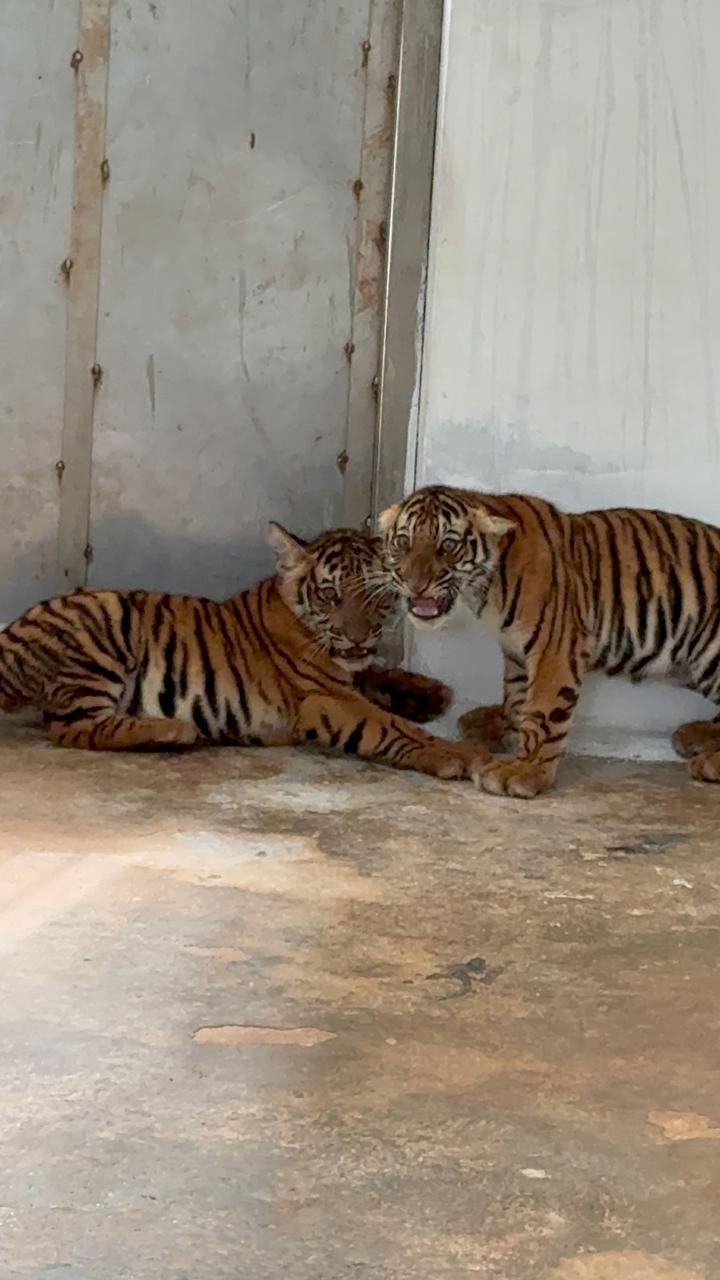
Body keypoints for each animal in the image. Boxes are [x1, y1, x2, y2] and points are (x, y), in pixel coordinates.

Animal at [0, 520, 483, 782]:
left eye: (377, 598)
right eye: (330, 595)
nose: (359, 638)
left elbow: (378, 678)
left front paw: (431, 693)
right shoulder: (323, 699)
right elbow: (392, 726)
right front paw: (458, 755)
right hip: (102, 624)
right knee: (72, 728)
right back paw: (169, 731)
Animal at [379, 484, 720, 797]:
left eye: (448, 544)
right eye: (403, 542)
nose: (415, 585)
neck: (486, 585)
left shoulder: (554, 648)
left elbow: (542, 710)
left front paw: (523, 771)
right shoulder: (515, 651)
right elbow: (516, 698)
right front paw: (506, 730)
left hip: (706, 651)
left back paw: (709, 761)